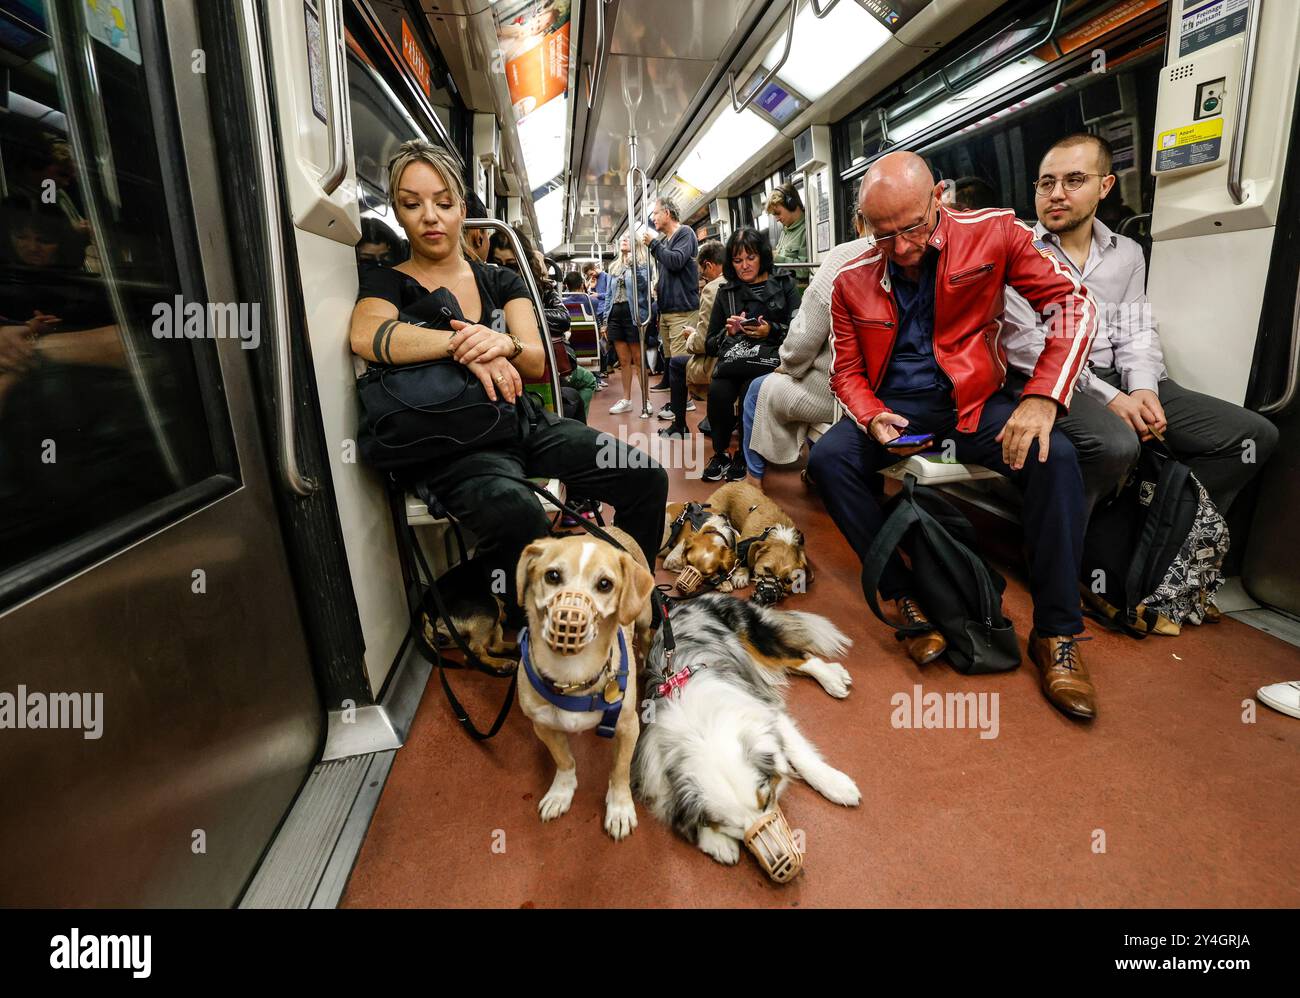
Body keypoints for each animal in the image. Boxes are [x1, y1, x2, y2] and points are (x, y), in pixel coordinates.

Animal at [512, 530, 655, 842]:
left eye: (605, 584)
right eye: (552, 576)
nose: (569, 620)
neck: (572, 673)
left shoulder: (629, 728)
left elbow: (620, 771)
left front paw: (620, 808)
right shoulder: (543, 727)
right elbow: (564, 760)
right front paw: (561, 793)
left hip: (644, 617)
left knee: (647, 637)